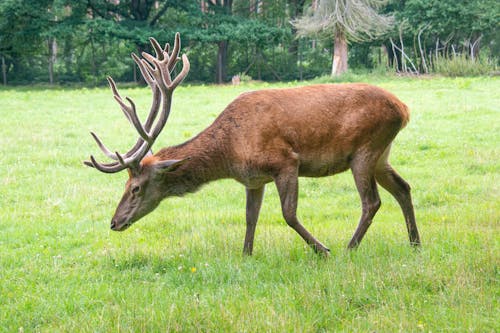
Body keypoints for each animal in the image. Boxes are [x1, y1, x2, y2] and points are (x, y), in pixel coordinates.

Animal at [84, 33, 420, 254]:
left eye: (135, 188)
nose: (114, 222)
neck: (229, 152)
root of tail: (404, 109)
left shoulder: (285, 161)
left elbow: (288, 214)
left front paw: (321, 249)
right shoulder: (253, 179)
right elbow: (250, 218)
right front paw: (246, 253)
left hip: (365, 149)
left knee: (372, 201)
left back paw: (350, 247)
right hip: (381, 154)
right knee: (403, 188)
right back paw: (415, 243)